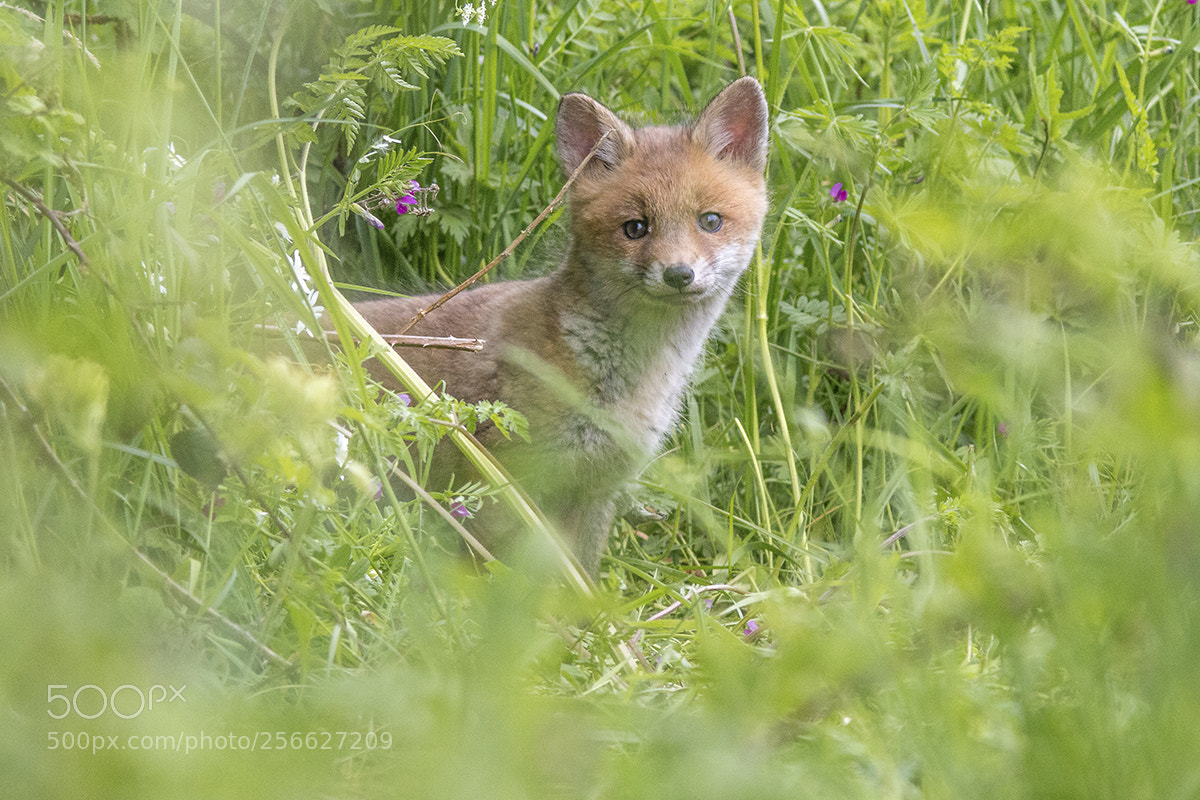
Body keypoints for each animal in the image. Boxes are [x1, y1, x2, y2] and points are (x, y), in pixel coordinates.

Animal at [355, 77, 769, 575]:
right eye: (635, 228)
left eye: (710, 221)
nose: (678, 274)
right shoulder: (500, 484)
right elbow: (495, 578)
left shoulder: (598, 488)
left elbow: (582, 575)